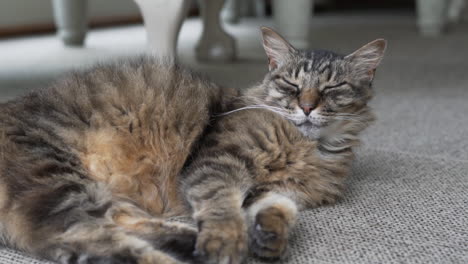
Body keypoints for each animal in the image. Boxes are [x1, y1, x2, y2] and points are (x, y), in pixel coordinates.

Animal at [0, 27, 386, 264]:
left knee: (114, 223)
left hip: (91, 192)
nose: (306, 107)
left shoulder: (278, 191)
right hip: (61, 180)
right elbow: (222, 207)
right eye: (291, 85)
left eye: (332, 88)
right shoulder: (218, 163)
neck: (306, 147)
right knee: (89, 239)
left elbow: (279, 209)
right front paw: (227, 240)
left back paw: (190, 241)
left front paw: (268, 235)